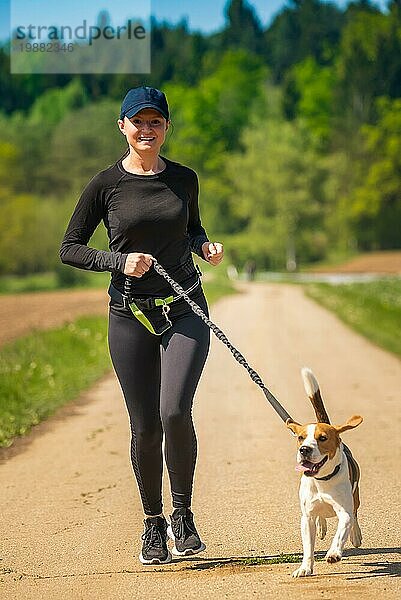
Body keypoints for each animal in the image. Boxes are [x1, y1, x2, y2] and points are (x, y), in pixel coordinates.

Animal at [286, 368, 360, 580]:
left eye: (323, 438)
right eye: (301, 437)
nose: (304, 449)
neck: (321, 481)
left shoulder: (344, 512)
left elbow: (342, 532)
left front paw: (334, 553)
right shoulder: (306, 518)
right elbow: (308, 548)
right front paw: (305, 568)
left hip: (356, 496)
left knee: (355, 515)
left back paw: (356, 535)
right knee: (321, 517)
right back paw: (321, 526)